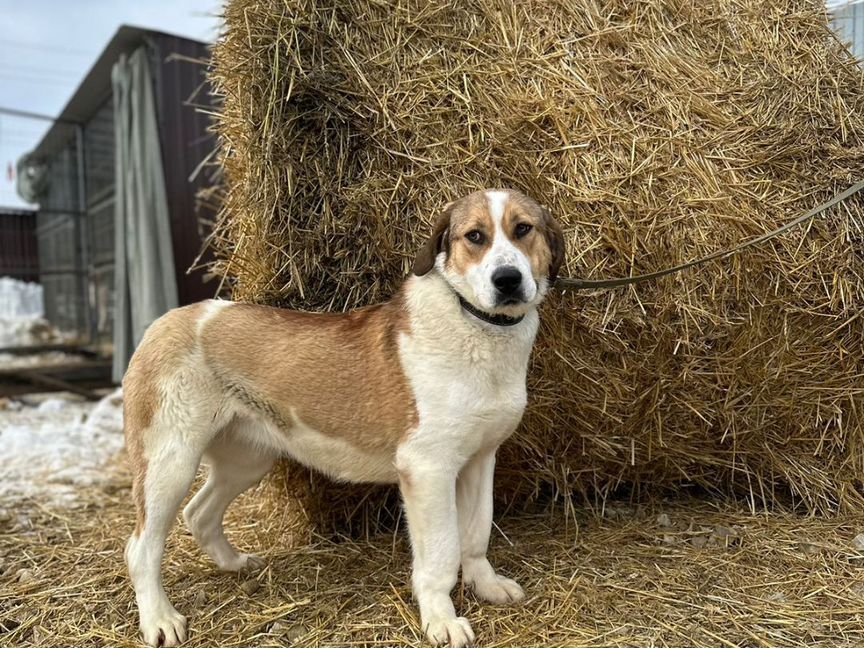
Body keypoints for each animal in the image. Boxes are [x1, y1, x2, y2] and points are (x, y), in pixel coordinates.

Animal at [123, 189, 568, 648]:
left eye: (523, 229)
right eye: (475, 236)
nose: (507, 279)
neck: (476, 324)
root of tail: (168, 320)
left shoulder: (480, 460)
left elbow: (476, 532)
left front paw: (486, 585)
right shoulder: (428, 470)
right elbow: (441, 552)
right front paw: (441, 618)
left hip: (246, 460)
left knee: (199, 513)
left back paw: (234, 564)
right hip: (169, 464)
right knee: (141, 547)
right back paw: (159, 618)